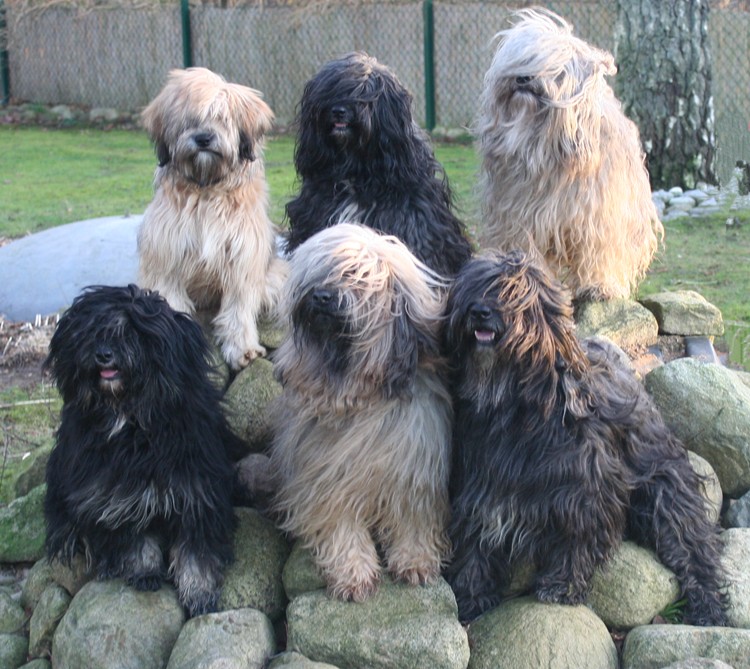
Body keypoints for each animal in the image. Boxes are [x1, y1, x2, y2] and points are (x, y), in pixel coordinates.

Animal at [43, 284, 238, 617]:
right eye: (92, 333)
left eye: (132, 333)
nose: (103, 355)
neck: (131, 420)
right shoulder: (116, 493)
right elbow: (135, 535)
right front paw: (144, 570)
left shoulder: (196, 491)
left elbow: (195, 551)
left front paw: (199, 593)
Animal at [138, 67, 287, 370]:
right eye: (189, 120)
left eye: (221, 118)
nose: (203, 138)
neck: (206, 190)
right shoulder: (166, 258)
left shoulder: (243, 258)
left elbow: (238, 309)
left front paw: (243, 349)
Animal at [270, 223, 452, 602]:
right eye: (319, 273)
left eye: (355, 275)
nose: (321, 297)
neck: (358, 395)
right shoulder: (325, 477)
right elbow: (340, 525)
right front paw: (353, 573)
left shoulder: (416, 469)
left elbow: (414, 517)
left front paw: (415, 560)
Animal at [443, 251, 727, 626]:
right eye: (474, 287)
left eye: (514, 292)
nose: (480, 311)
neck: (514, 406)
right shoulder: (481, 481)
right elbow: (476, 537)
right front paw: (471, 594)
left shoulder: (584, 487)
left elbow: (576, 536)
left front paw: (561, 586)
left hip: (665, 486)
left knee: (691, 542)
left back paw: (708, 605)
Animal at [477, 9, 663, 300]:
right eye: (524, 60)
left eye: (556, 71)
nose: (523, 78)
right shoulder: (518, 215)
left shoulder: (600, 213)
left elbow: (600, 249)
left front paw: (600, 286)